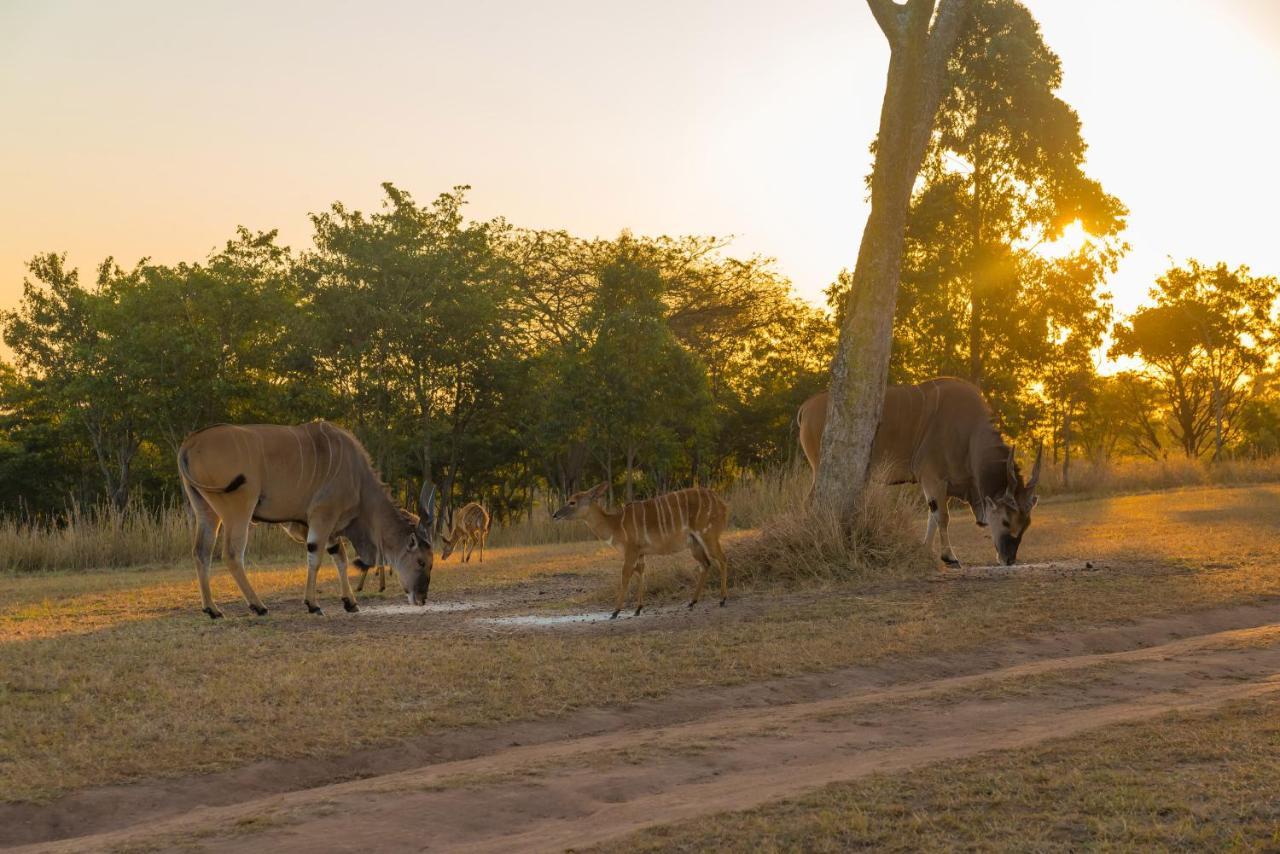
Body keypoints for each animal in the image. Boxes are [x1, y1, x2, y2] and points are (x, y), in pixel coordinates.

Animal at [175, 422, 437, 617]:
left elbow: (340, 558)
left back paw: (212, 609)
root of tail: (190, 442)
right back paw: (258, 606)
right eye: (422, 562)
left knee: (201, 552)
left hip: (206, 511)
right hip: (238, 509)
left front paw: (350, 602)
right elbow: (316, 557)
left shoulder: (325, 525)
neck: (358, 479)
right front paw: (313, 604)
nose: (422, 598)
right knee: (231, 554)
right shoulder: (322, 516)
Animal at [552, 483, 732, 617]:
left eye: (572, 502)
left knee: (722, 559)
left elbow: (625, 575)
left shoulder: (631, 551)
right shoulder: (640, 553)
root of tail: (723, 504)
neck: (616, 525)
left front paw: (615, 611)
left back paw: (722, 599)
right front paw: (638, 609)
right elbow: (641, 573)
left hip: (708, 535)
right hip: (694, 543)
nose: (555, 515)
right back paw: (692, 602)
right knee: (706, 564)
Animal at [793, 378, 1044, 568]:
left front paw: (925, 552)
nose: (1009, 559)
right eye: (1005, 521)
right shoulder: (933, 478)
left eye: (1026, 523)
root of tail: (806, 406)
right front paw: (949, 558)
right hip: (820, 468)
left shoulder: (942, 485)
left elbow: (932, 516)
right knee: (809, 502)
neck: (970, 435)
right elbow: (942, 516)